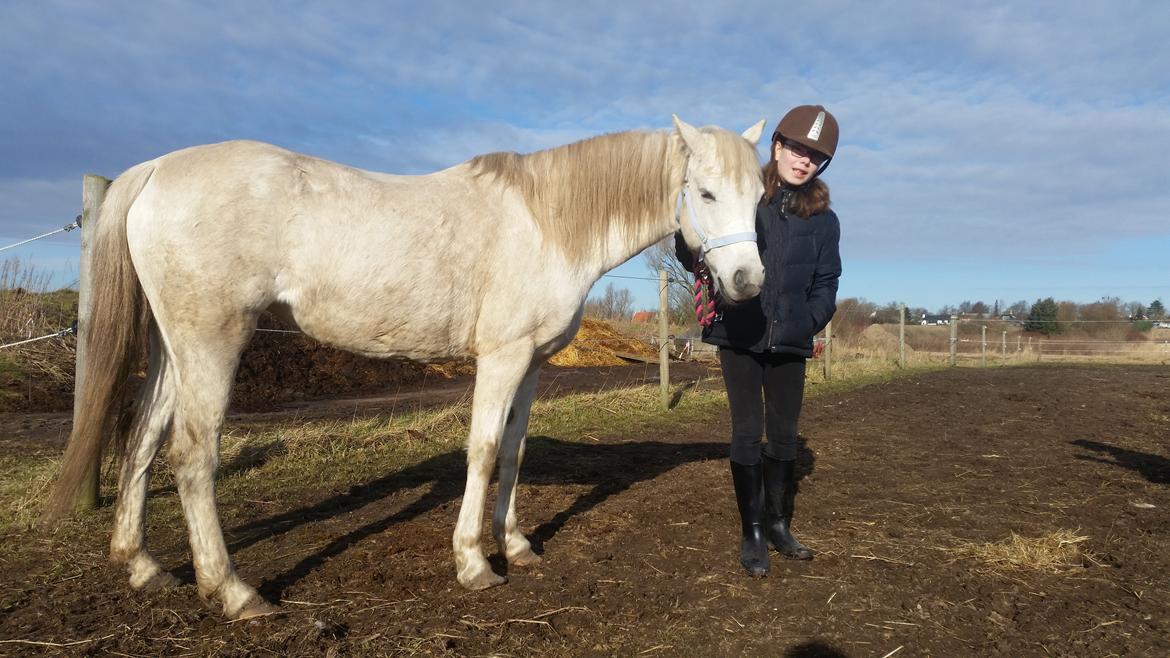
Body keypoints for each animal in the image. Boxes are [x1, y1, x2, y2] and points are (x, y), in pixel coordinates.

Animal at [50, 116, 767, 613]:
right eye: (705, 193)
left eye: (760, 195)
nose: (747, 281)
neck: (546, 222)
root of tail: (156, 169)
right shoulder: (502, 358)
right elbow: (482, 451)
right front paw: (475, 563)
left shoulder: (533, 363)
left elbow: (514, 452)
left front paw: (517, 545)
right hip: (211, 341)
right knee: (193, 454)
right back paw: (233, 592)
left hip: (172, 347)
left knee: (143, 437)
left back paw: (143, 565)